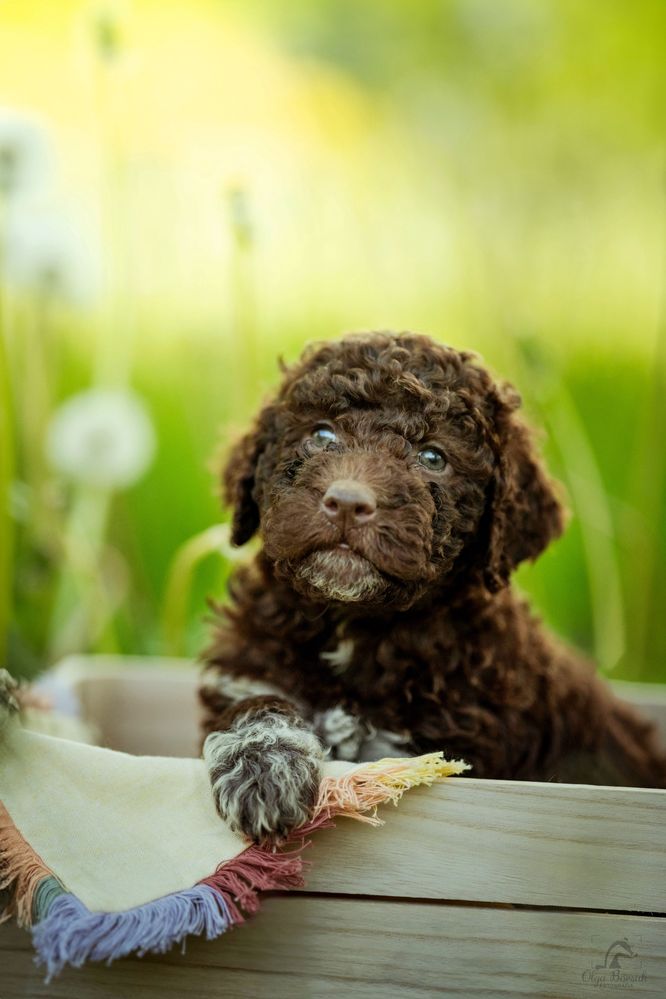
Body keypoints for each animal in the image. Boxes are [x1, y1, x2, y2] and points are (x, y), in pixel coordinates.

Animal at [200, 330, 664, 844]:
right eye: (321, 435)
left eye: (433, 458)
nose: (347, 501)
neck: (353, 624)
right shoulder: (249, 668)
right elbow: (257, 704)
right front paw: (263, 772)